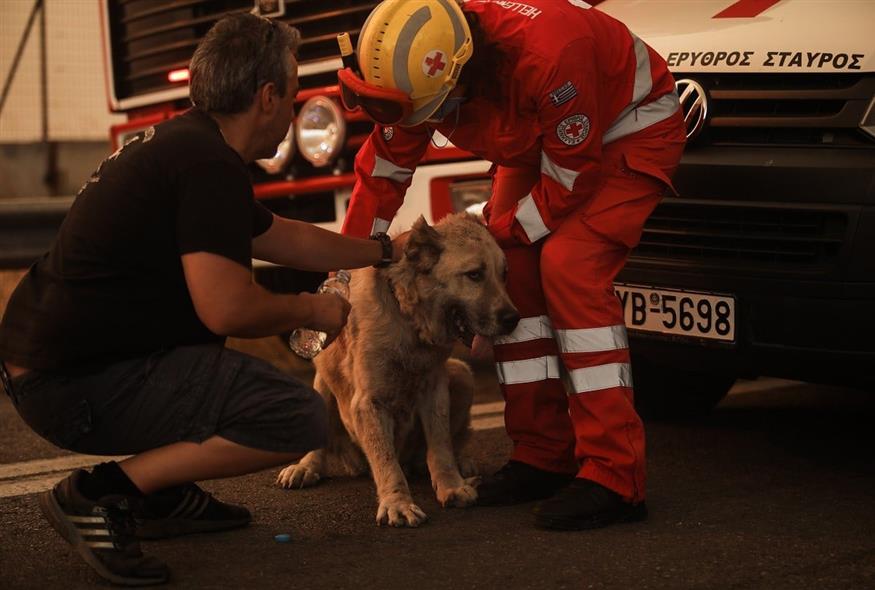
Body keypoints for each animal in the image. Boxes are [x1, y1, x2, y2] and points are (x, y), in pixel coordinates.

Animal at [278, 215, 516, 528]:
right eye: (474, 275)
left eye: (504, 274)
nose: (514, 319)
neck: (407, 318)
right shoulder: (368, 403)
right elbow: (386, 461)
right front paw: (397, 503)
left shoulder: (435, 388)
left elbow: (440, 446)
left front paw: (451, 485)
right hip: (321, 385)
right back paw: (305, 466)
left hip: (462, 374)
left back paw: (458, 463)